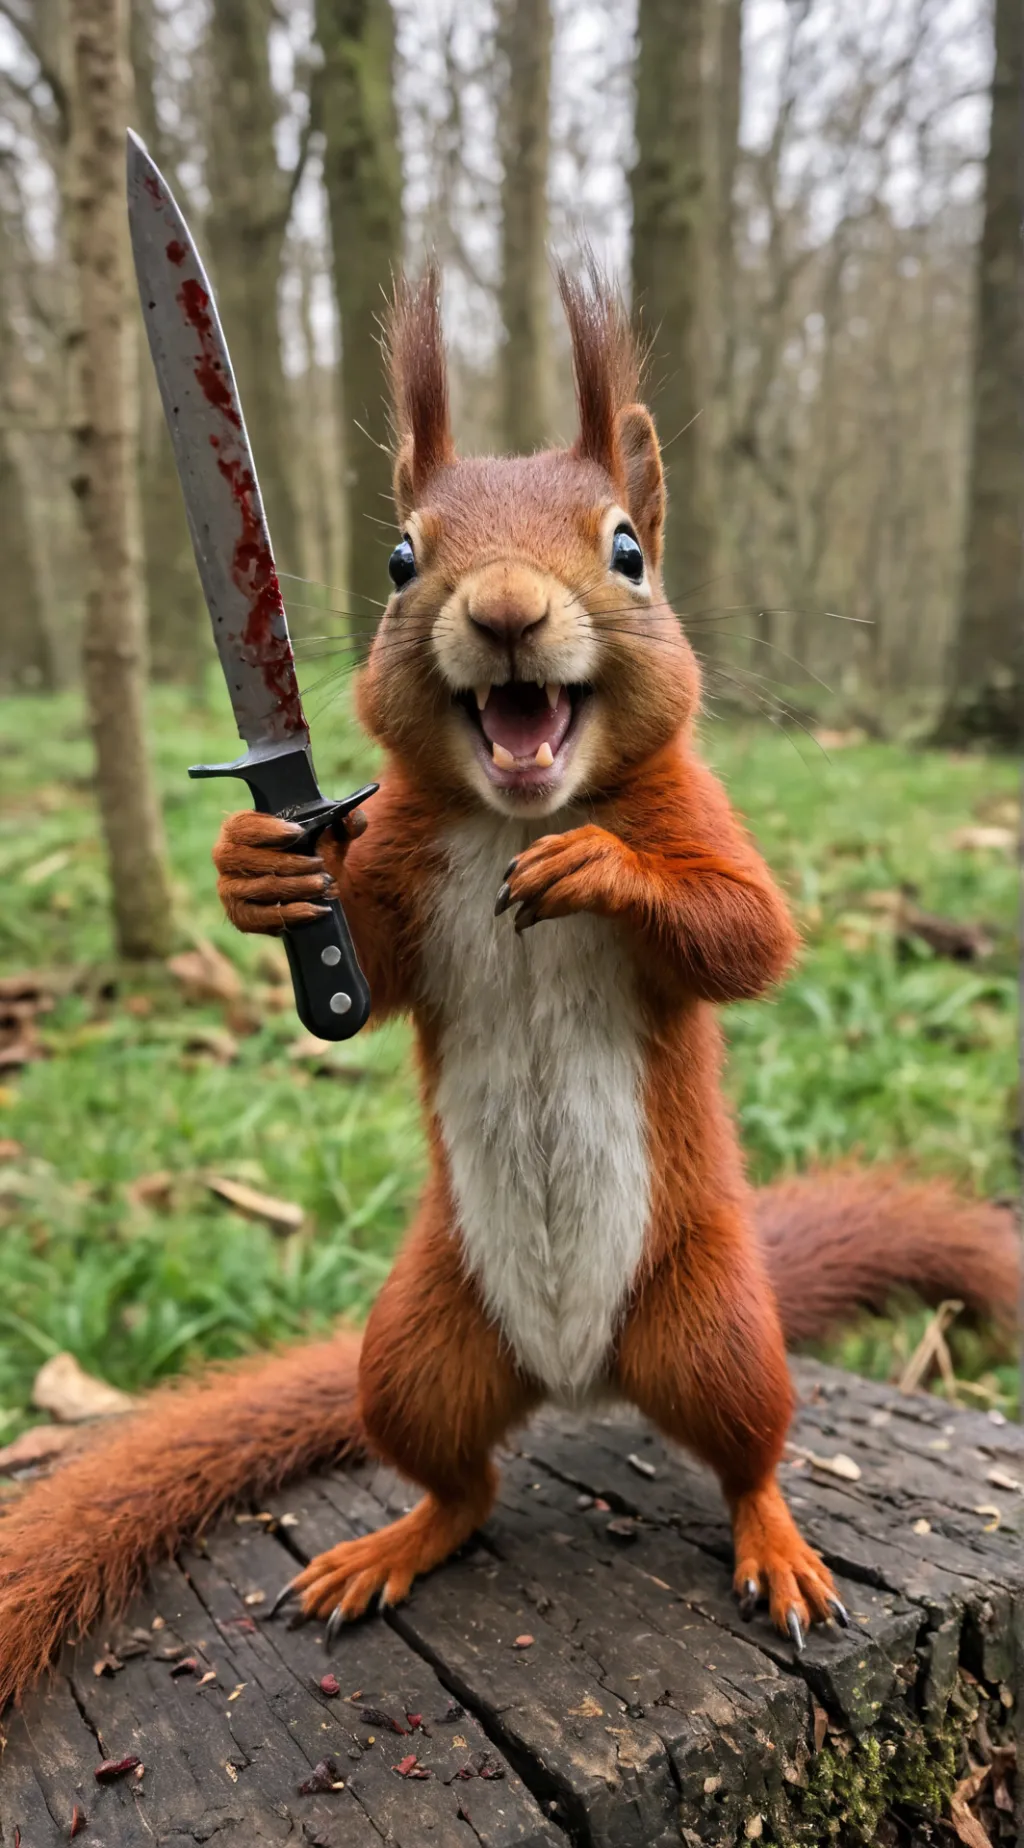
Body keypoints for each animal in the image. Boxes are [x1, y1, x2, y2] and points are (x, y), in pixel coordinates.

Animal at [0, 263, 1017, 1708]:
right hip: (418, 1347)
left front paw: (597, 867)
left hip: (718, 1329)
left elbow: (750, 936)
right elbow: (359, 978)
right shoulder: (396, 878)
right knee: (462, 1487)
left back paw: (775, 1543)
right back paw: (390, 1546)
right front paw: (253, 867)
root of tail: (578, 1378)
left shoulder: (701, 821)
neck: (509, 815)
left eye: (629, 551)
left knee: (750, 1455)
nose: (504, 610)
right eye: (400, 559)